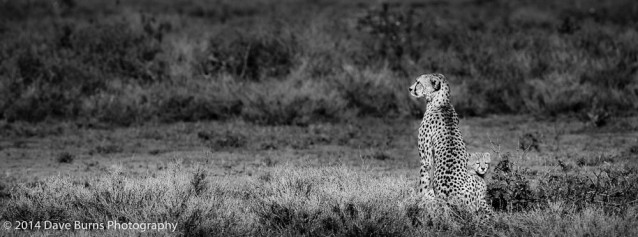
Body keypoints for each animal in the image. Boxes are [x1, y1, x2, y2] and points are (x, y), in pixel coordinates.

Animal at [410, 72, 496, 213]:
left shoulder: (425, 159)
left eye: (418, 82)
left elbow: (423, 183)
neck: (441, 102)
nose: (410, 89)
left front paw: (416, 201)